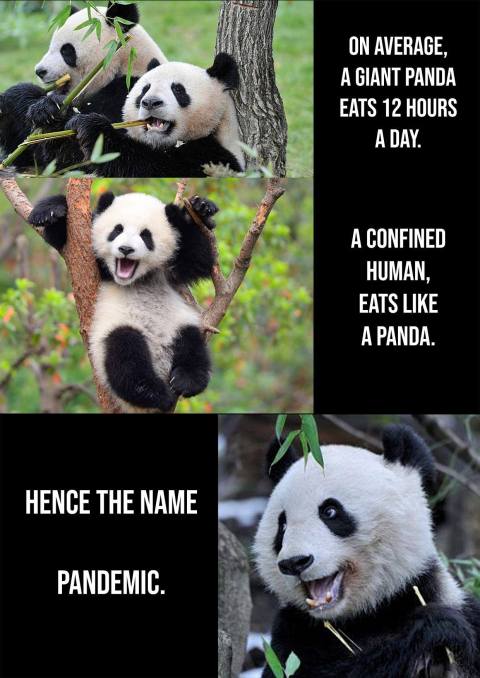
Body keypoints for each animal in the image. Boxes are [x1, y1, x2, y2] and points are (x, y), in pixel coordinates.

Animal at [0, 2, 166, 171]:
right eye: (50, 47)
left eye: (66, 50)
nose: (40, 71)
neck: (125, 63)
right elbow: (28, 154)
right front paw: (13, 97)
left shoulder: (126, 94)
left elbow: (69, 152)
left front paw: (47, 109)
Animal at [27, 190, 217, 412]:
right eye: (117, 230)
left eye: (146, 235)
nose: (126, 249)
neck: (137, 279)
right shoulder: (94, 263)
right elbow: (65, 239)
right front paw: (50, 211)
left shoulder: (171, 270)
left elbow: (199, 259)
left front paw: (200, 208)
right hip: (116, 329)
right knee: (125, 356)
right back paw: (155, 393)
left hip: (177, 325)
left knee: (192, 348)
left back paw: (184, 381)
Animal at [64, 53, 244, 177]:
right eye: (145, 89)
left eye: (178, 90)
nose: (150, 102)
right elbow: (72, 163)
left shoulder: (212, 157)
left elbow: (150, 167)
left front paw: (92, 127)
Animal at [254, 425, 480, 678]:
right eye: (282, 526)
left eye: (330, 511)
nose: (295, 562)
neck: (366, 613)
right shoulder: (294, 631)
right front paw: (438, 627)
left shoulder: (445, 597)